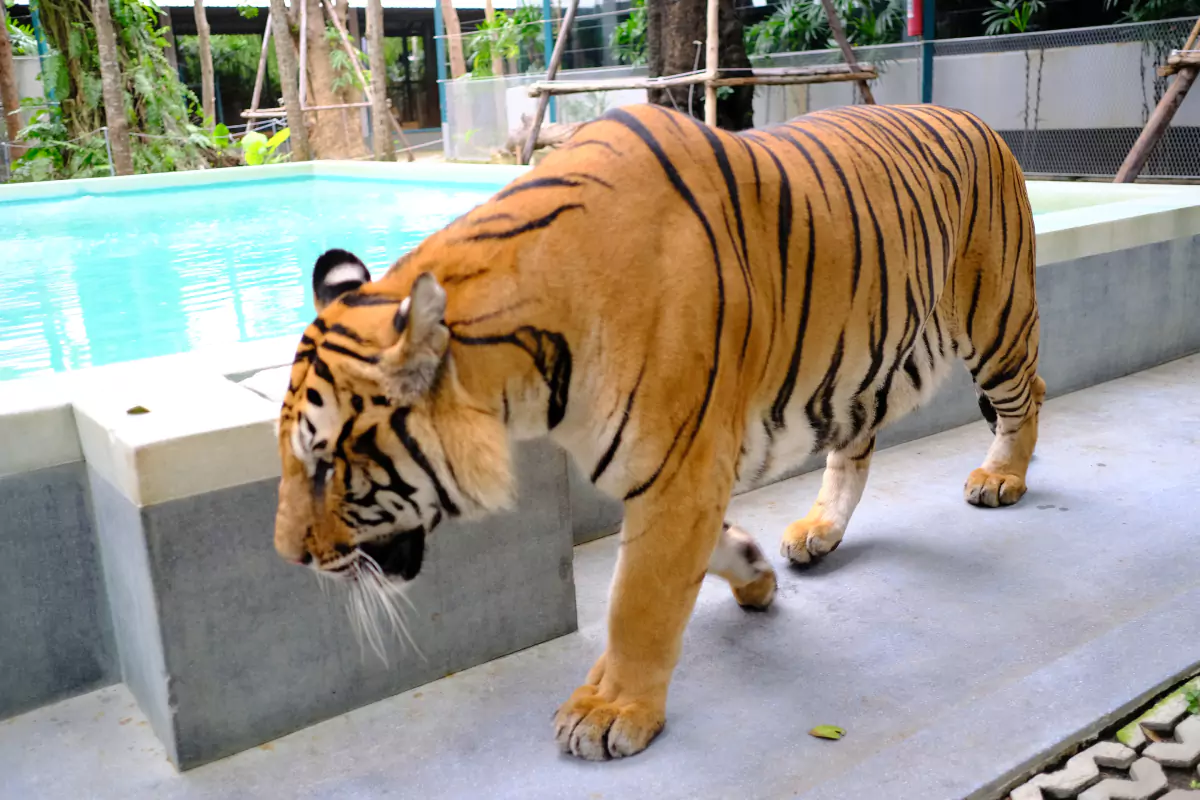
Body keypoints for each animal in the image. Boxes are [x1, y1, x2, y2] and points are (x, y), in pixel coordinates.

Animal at [273, 102, 1045, 762]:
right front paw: (753, 571)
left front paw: (609, 712)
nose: (290, 558)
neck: (528, 373)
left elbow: (637, 601)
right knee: (855, 450)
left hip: (995, 320)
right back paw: (818, 530)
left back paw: (1001, 477)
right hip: (859, 370)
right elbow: (695, 559)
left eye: (325, 463)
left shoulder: (680, 468)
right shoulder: (683, 471)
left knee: (1026, 398)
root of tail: (981, 122)